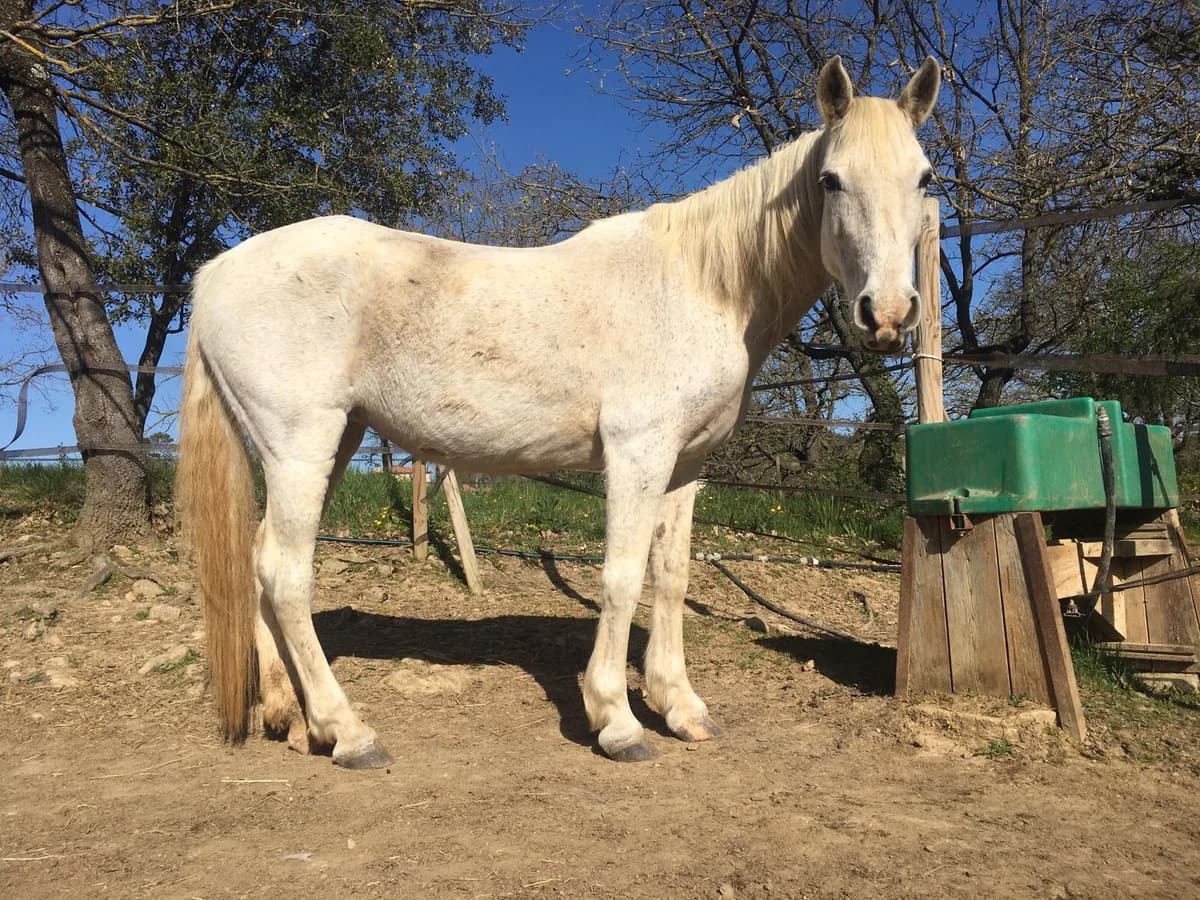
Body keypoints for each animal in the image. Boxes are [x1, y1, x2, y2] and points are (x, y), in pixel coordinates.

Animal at [177, 56, 941, 768]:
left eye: (925, 178)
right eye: (831, 180)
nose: (888, 313)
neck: (701, 285)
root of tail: (214, 274)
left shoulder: (685, 464)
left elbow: (671, 577)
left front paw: (680, 707)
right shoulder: (637, 453)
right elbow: (622, 577)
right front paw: (617, 721)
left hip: (332, 443)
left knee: (259, 564)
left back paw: (293, 719)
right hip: (302, 445)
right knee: (284, 573)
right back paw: (348, 731)